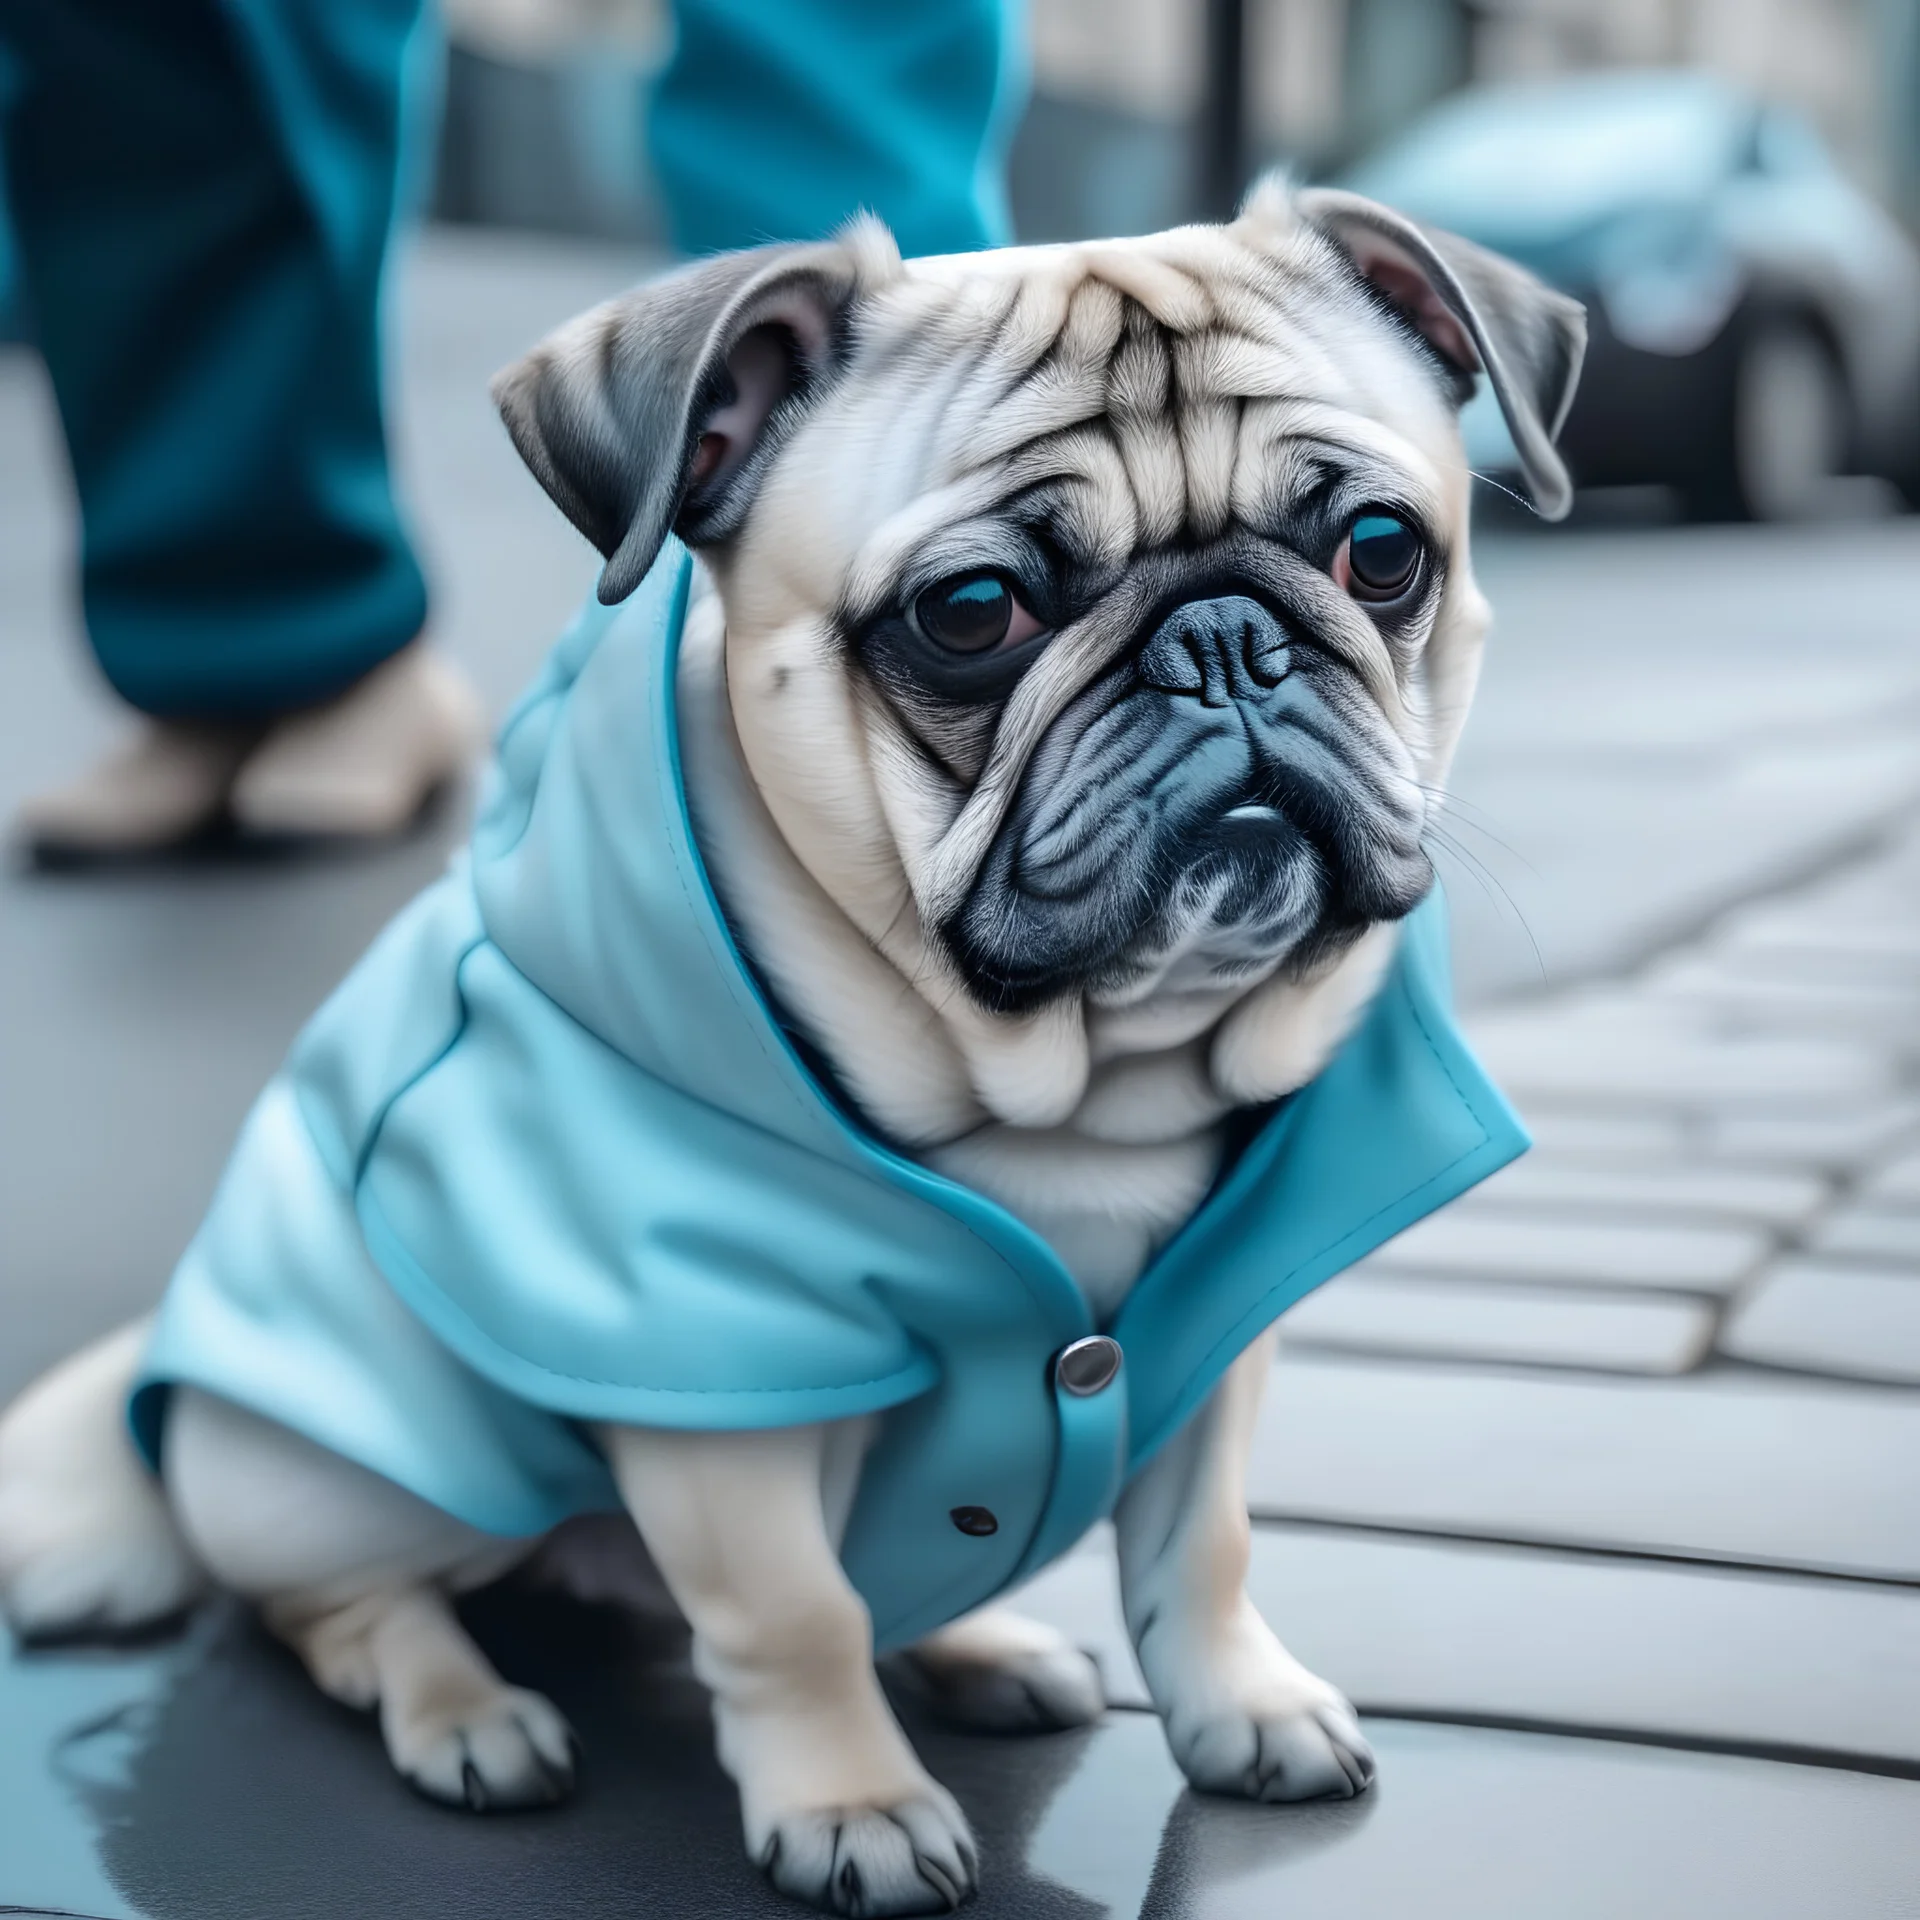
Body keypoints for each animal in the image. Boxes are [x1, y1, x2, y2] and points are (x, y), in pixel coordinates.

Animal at [0, 183, 1574, 1920]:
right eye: (972, 614)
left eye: (1381, 553)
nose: (1222, 637)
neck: (1080, 1090)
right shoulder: (719, 1382)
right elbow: (792, 1616)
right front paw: (852, 1804)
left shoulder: (1214, 1337)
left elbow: (1204, 1545)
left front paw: (1245, 1707)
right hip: (342, 1484)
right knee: (338, 1613)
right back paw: (465, 1711)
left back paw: (983, 1644)